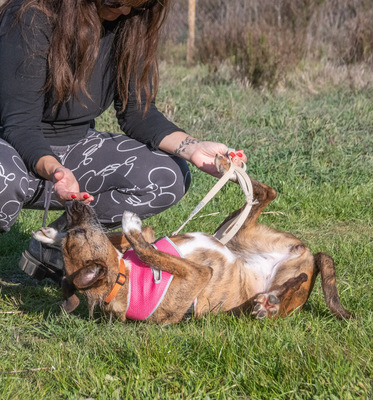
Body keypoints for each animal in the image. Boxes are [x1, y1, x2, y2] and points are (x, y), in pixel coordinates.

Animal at [32, 155, 352, 324]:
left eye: (78, 232)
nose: (72, 204)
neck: (124, 278)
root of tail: (307, 254)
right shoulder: (198, 273)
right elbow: (145, 248)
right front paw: (129, 225)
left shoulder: (148, 239)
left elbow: (126, 239)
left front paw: (51, 235)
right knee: (291, 282)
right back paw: (269, 302)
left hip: (234, 231)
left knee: (265, 194)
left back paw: (226, 166)